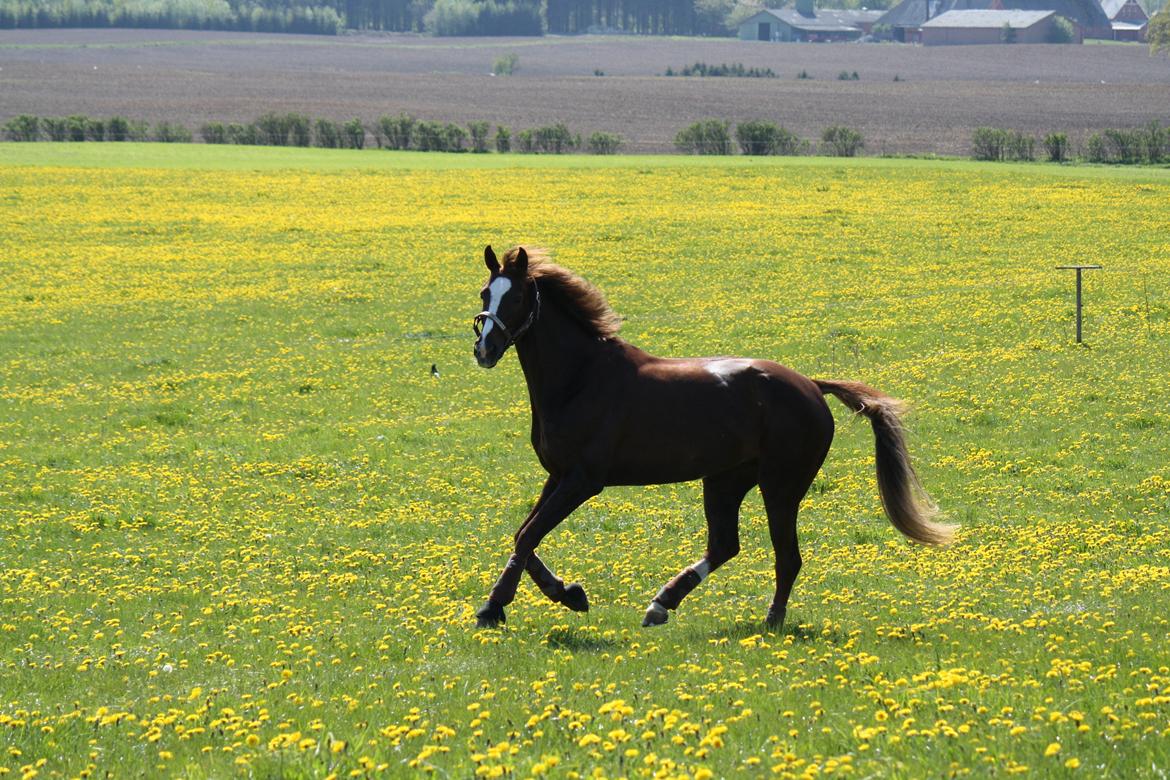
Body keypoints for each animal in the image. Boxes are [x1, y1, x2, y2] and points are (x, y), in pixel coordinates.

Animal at [470, 246, 954, 631]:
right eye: (484, 294)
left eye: (516, 297)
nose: (484, 350)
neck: (581, 377)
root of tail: (812, 386)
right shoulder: (557, 476)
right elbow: (523, 534)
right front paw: (567, 593)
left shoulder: (583, 480)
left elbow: (529, 536)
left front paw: (494, 608)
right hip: (726, 480)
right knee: (725, 544)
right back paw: (660, 605)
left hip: (781, 486)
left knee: (787, 556)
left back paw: (770, 621)